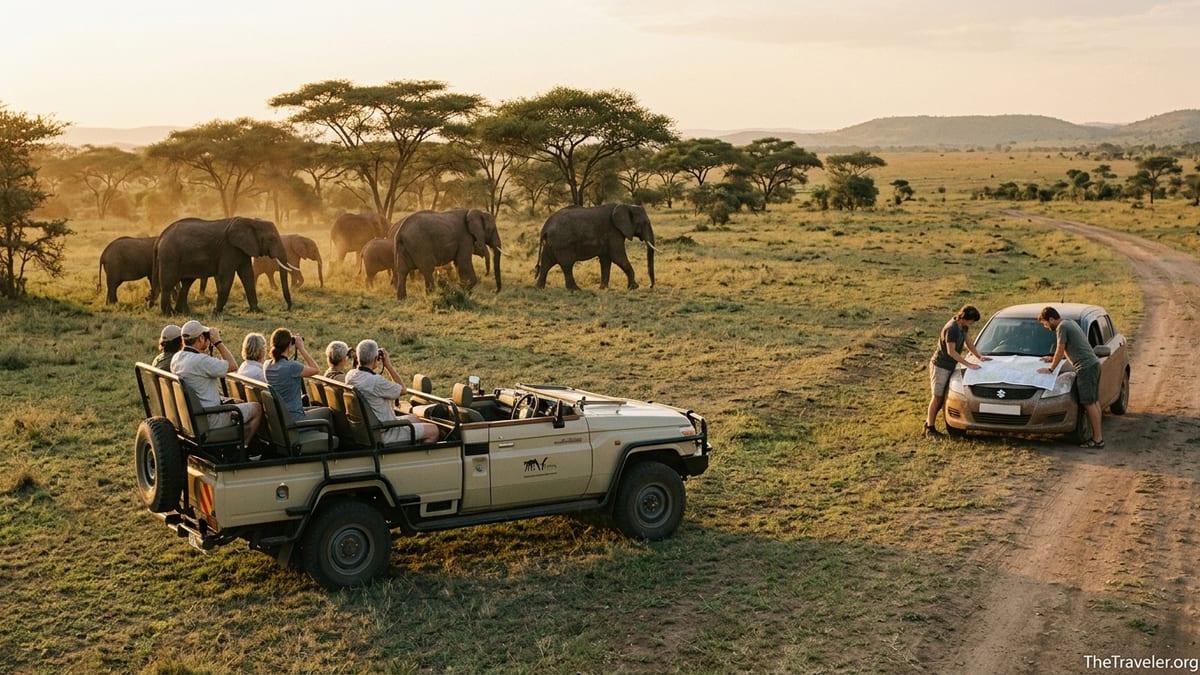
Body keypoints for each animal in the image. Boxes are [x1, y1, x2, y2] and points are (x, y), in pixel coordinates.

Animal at [153, 216, 296, 315]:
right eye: (271, 239)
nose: (286, 308)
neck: (250, 221)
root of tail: (161, 236)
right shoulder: (229, 249)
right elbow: (227, 277)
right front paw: (216, 312)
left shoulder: (242, 249)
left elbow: (247, 275)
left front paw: (256, 311)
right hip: (170, 257)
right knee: (168, 284)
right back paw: (169, 314)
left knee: (187, 283)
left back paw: (182, 313)